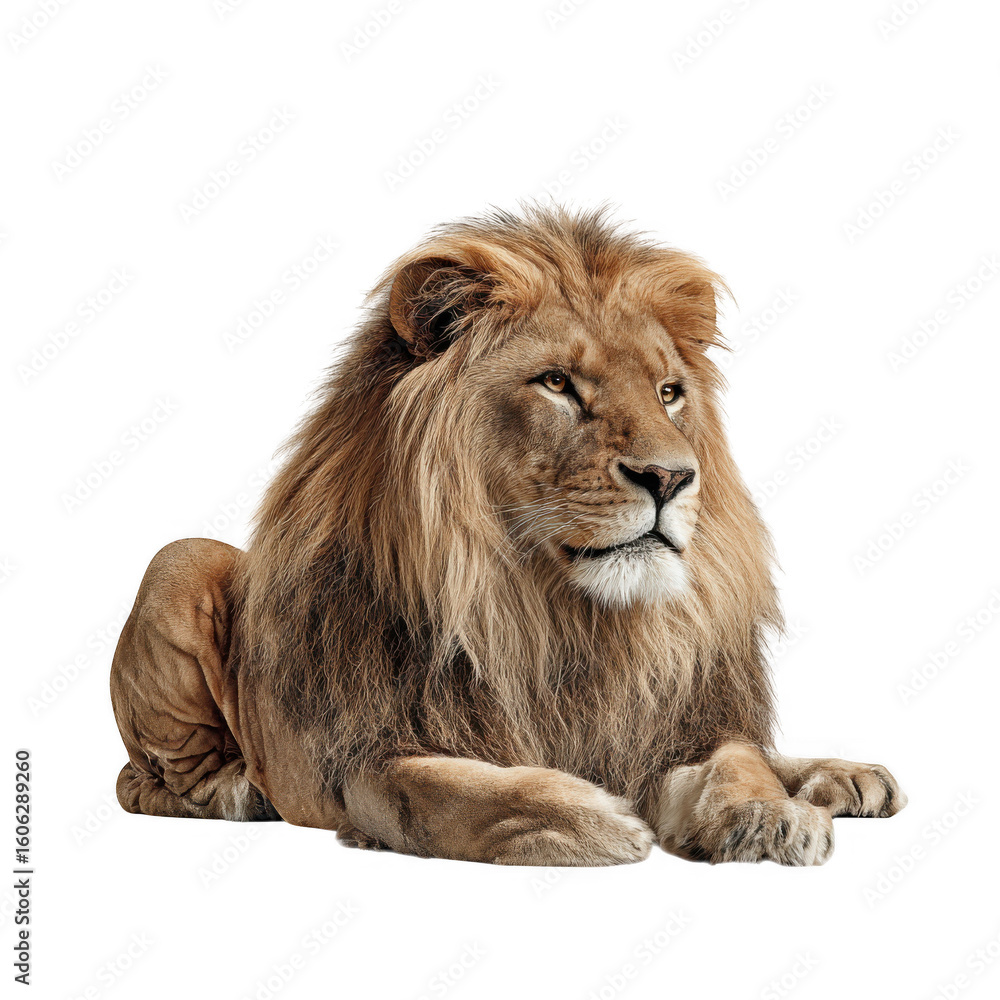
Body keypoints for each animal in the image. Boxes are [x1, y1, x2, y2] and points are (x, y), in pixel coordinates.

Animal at [110, 205, 905, 866]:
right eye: (556, 383)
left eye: (669, 393)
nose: (673, 478)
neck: (550, 616)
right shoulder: (364, 758)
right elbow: (458, 792)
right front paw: (593, 819)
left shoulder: (672, 724)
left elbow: (739, 759)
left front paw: (770, 815)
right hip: (180, 563)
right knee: (147, 781)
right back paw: (243, 790)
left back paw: (845, 777)